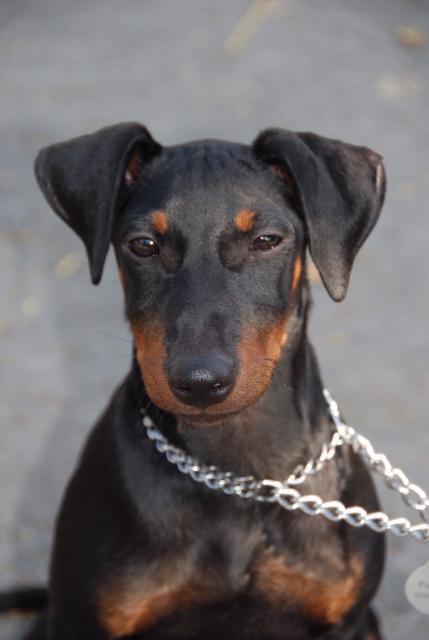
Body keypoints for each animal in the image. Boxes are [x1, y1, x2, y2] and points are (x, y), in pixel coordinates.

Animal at [4, 123, 387, 639]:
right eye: (143, 244)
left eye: (267, 239)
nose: (201, 382)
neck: (233, 475)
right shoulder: (80, 622)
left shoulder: (347, 622)